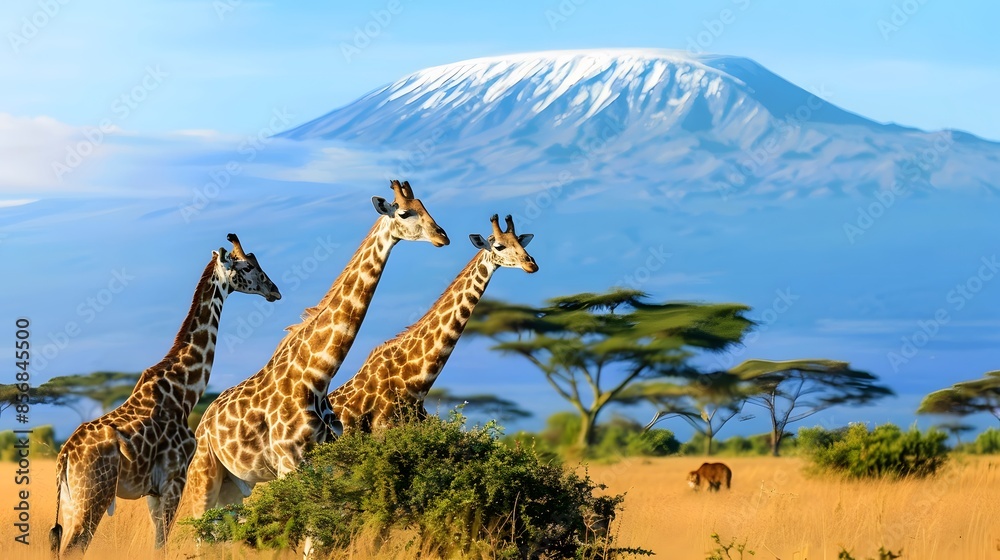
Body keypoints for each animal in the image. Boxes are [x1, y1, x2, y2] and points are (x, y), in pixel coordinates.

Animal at [49, 234, 281, 556]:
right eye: (246, 267)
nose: (275, 290)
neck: (184, 390)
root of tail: (65, 456)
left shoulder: (153, 492)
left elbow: (158, 544)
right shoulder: (175, 479)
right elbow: (162, 545)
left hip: (72, 502)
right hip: (94, 497)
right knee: (75, 546)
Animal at [180, 180, 449, 519]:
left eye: (425, 206)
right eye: (404, 212)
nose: (443, 236)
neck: (317, 375)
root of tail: (203, 422)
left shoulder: (327, 460)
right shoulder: (288, 465)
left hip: (236, 487)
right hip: (204, 479)